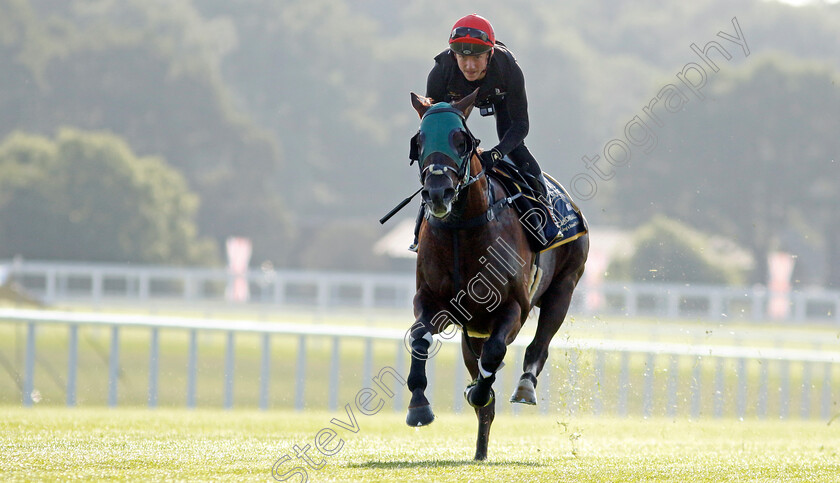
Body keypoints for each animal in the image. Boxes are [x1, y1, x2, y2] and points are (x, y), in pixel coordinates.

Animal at [406, 90, 592, 462]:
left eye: (461, 140)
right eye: (420, 140)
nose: (438, 193)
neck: (462, 232)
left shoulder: (513, 309)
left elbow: (495, 354)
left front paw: (478, 391)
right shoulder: (432, 302)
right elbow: (420, 336)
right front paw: (418, 404)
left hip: (564, 288)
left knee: (539, 344)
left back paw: (523, 387)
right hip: (472, 331)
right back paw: (480, 448)